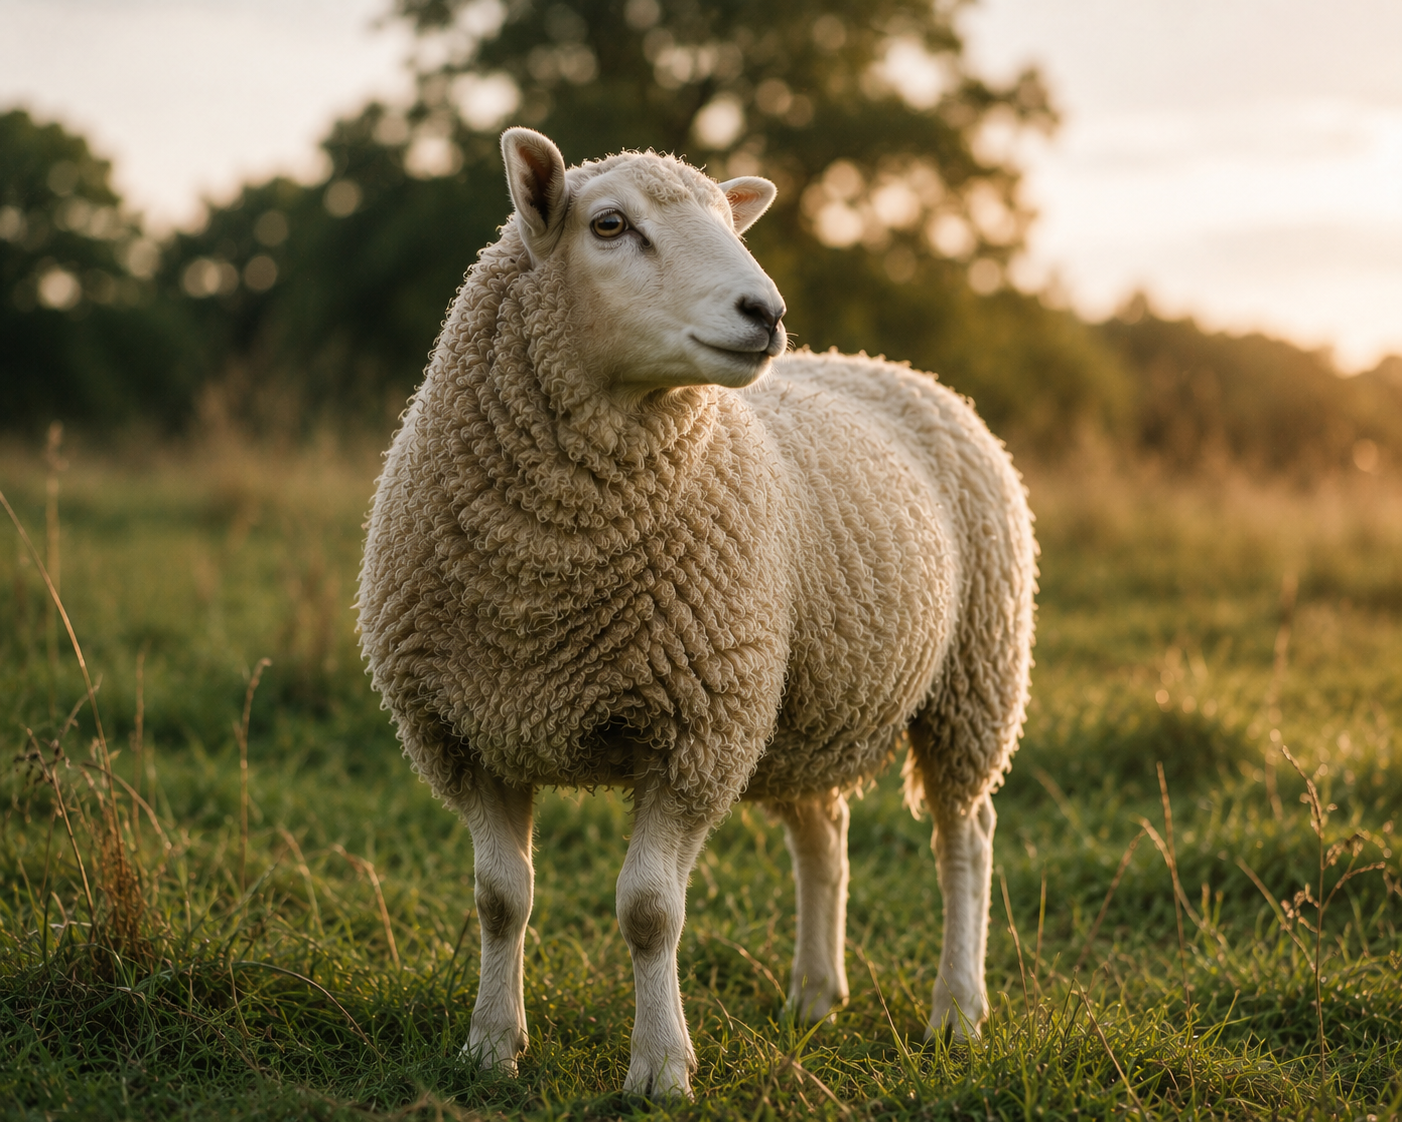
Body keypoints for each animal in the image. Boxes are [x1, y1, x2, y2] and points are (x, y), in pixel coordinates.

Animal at [357, 127, 1036, 1098]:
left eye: (728, 220)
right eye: (609, 225)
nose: (767, 312)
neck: (542, 580)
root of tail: (895, 368)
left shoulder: (695, 731)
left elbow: (649, 910)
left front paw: (659, 1069)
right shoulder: (465, 731)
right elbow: (499, 899)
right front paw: (490, 1047)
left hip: (973, 682)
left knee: (965, 840)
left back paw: (957, 1012)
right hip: (799, 709)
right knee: (824, 836)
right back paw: (814, 999)